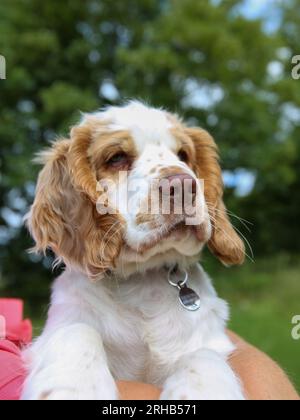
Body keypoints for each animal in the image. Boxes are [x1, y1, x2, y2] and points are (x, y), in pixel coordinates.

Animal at [21, 101, 246, 400]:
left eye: (183, 155)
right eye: (116, 158)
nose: (183, 184)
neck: (142, 282)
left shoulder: (210, 339)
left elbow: (203, 355)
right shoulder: (60, 325)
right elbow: (77, 330)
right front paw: (76, 389)